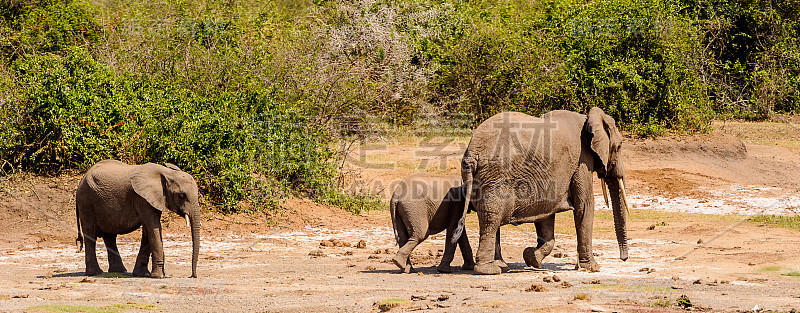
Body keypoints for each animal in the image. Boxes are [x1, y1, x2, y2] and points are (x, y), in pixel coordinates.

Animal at [456, 108, 632, 274]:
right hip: (496, 176)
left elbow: (545, 215)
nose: (624, 259)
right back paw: (489, 270)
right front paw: (592, 268)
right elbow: (585, 206)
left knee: (491, 217)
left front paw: (531, 258)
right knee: (492, 218)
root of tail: (471, 152)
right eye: (619, 146)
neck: (588, 118)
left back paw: (501, 265)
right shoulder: (581, 161)